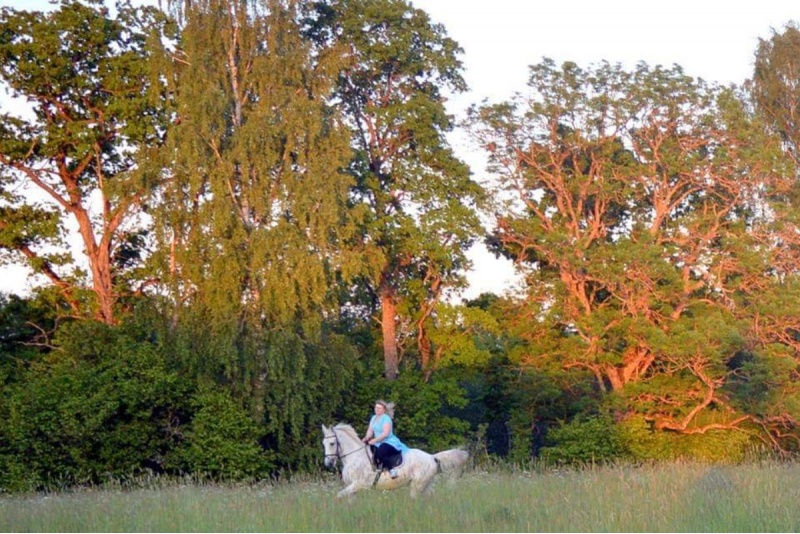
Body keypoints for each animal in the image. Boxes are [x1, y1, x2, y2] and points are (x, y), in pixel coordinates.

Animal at [320, 426, 466, 500]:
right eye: (323, 443)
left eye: (332, 443)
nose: (328, 463)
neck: (354, 457)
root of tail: (432, 457)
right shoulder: (352, 488)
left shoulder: (358, 484)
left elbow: (338, 495)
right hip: (425, 484)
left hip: (417, 485)